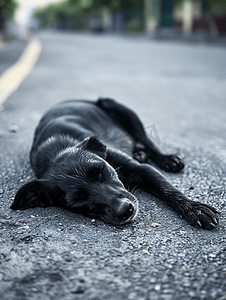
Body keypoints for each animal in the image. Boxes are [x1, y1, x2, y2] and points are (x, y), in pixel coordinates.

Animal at [11, 99, 220, 230]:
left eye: (100, 170)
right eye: (77, 200)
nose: (126, 209)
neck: (54, 151)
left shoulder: (142, 169)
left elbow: (169, 190)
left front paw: (195, 209)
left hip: (121, 110)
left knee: (148, 141)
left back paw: (166, 159)